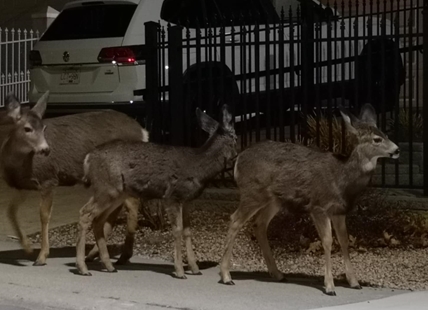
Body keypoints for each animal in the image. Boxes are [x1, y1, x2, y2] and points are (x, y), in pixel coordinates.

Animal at [0, 91, 149, 266]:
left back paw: (123, 256)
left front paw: (42, 256)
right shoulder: (23, 184)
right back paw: (94, 254)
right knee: (116, 209)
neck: (19, 164)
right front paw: (27, 247)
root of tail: (143, 132)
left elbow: (44, 215)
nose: (46, 150)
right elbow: (10, 210)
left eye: (43, 128)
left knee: (132, 206)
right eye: (27, 128)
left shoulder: (48, 179)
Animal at [76, 105, 237, 278]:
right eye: (235, 137)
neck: (199, 168)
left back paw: (109, 266)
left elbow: (188, 231)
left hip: (116, 193)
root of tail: (88, 158)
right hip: (106, 188)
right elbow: (177, 230)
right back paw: (83, 268)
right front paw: (180, 271)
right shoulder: (172, 196)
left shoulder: (187, 200)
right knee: (85, 213)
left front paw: (195, 268)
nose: (237, 154)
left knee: (98, 219)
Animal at [221, 103, 402, 296]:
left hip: (274, 199)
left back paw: (277, 274)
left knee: (259, 224)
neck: (342, 178)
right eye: (377, 139)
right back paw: (226, 276)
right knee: (235, 220)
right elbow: (328, 241)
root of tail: (238, 159)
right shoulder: (318, 206)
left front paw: (354, 282)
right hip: (253, 192)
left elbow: (344, 240)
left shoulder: (339, 211)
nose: (397, 150)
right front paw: (330, 286)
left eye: (386, 135)